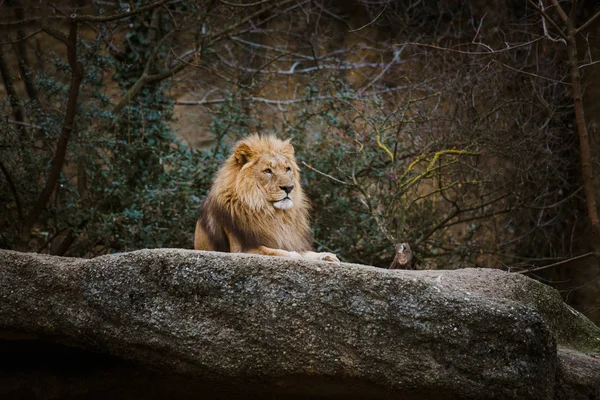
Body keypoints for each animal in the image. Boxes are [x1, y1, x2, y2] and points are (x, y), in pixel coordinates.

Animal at [196, 134, 340, 262]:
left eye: (287, 169)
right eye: (268, 171)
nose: (289, 188)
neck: (273, 215)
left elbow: (304, 252)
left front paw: (326, 256)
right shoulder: (241, 249)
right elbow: (277, 251)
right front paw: (296, 255)